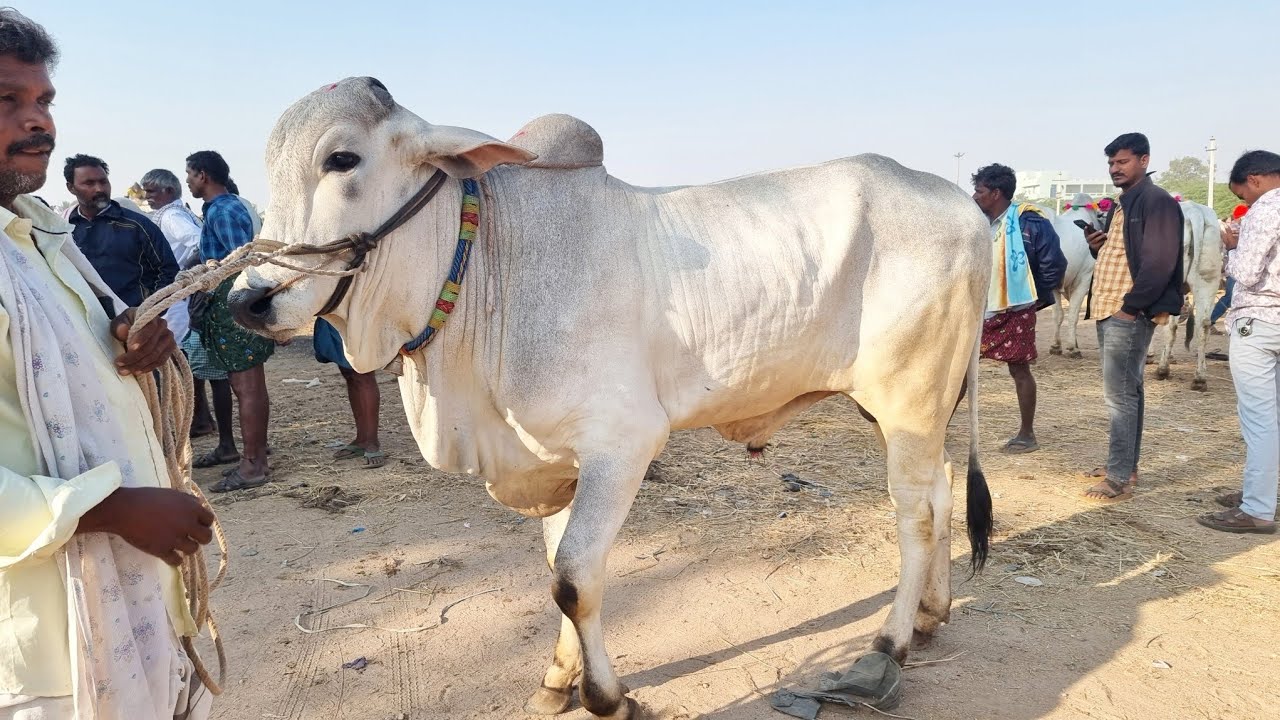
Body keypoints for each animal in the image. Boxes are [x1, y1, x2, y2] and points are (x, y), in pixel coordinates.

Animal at [228, 77, 994, 718]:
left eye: (342, 159)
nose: (248, 300)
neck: (488, 263)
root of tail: (963, 206)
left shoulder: (622, 443)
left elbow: (573, 578)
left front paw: (607, 696)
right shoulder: (554, 459)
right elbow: (559, 566)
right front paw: (558, 679)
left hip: (909, 397)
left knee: (914, 516)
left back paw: (886, 650)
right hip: (910, 408)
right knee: (939, 491)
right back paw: (931, 615)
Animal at [1153, 200, 1225, 390]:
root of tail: (1194, 212)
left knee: (1169, 326)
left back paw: (1163, 369)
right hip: (1208, 279)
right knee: (1202, 325)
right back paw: (1199, 378)